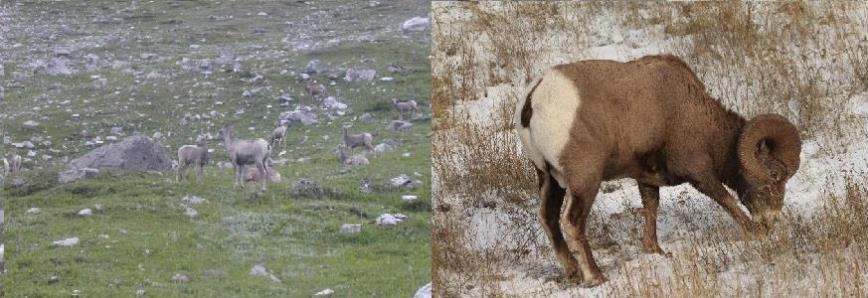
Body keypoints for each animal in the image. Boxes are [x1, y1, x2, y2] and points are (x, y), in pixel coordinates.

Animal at [512, 54, 804, 288]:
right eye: (775, 176)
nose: (770, 220)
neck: (694, 113)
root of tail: (534, 100)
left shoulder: (647, 180)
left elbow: (651, 209)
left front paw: (657, 251)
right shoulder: (698, 172)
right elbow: (726, 200)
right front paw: (754, 234)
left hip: (549, 179)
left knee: (548, 218)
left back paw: (572, 272)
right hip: (585, 181)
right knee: (572, 223)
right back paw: (596, 276)